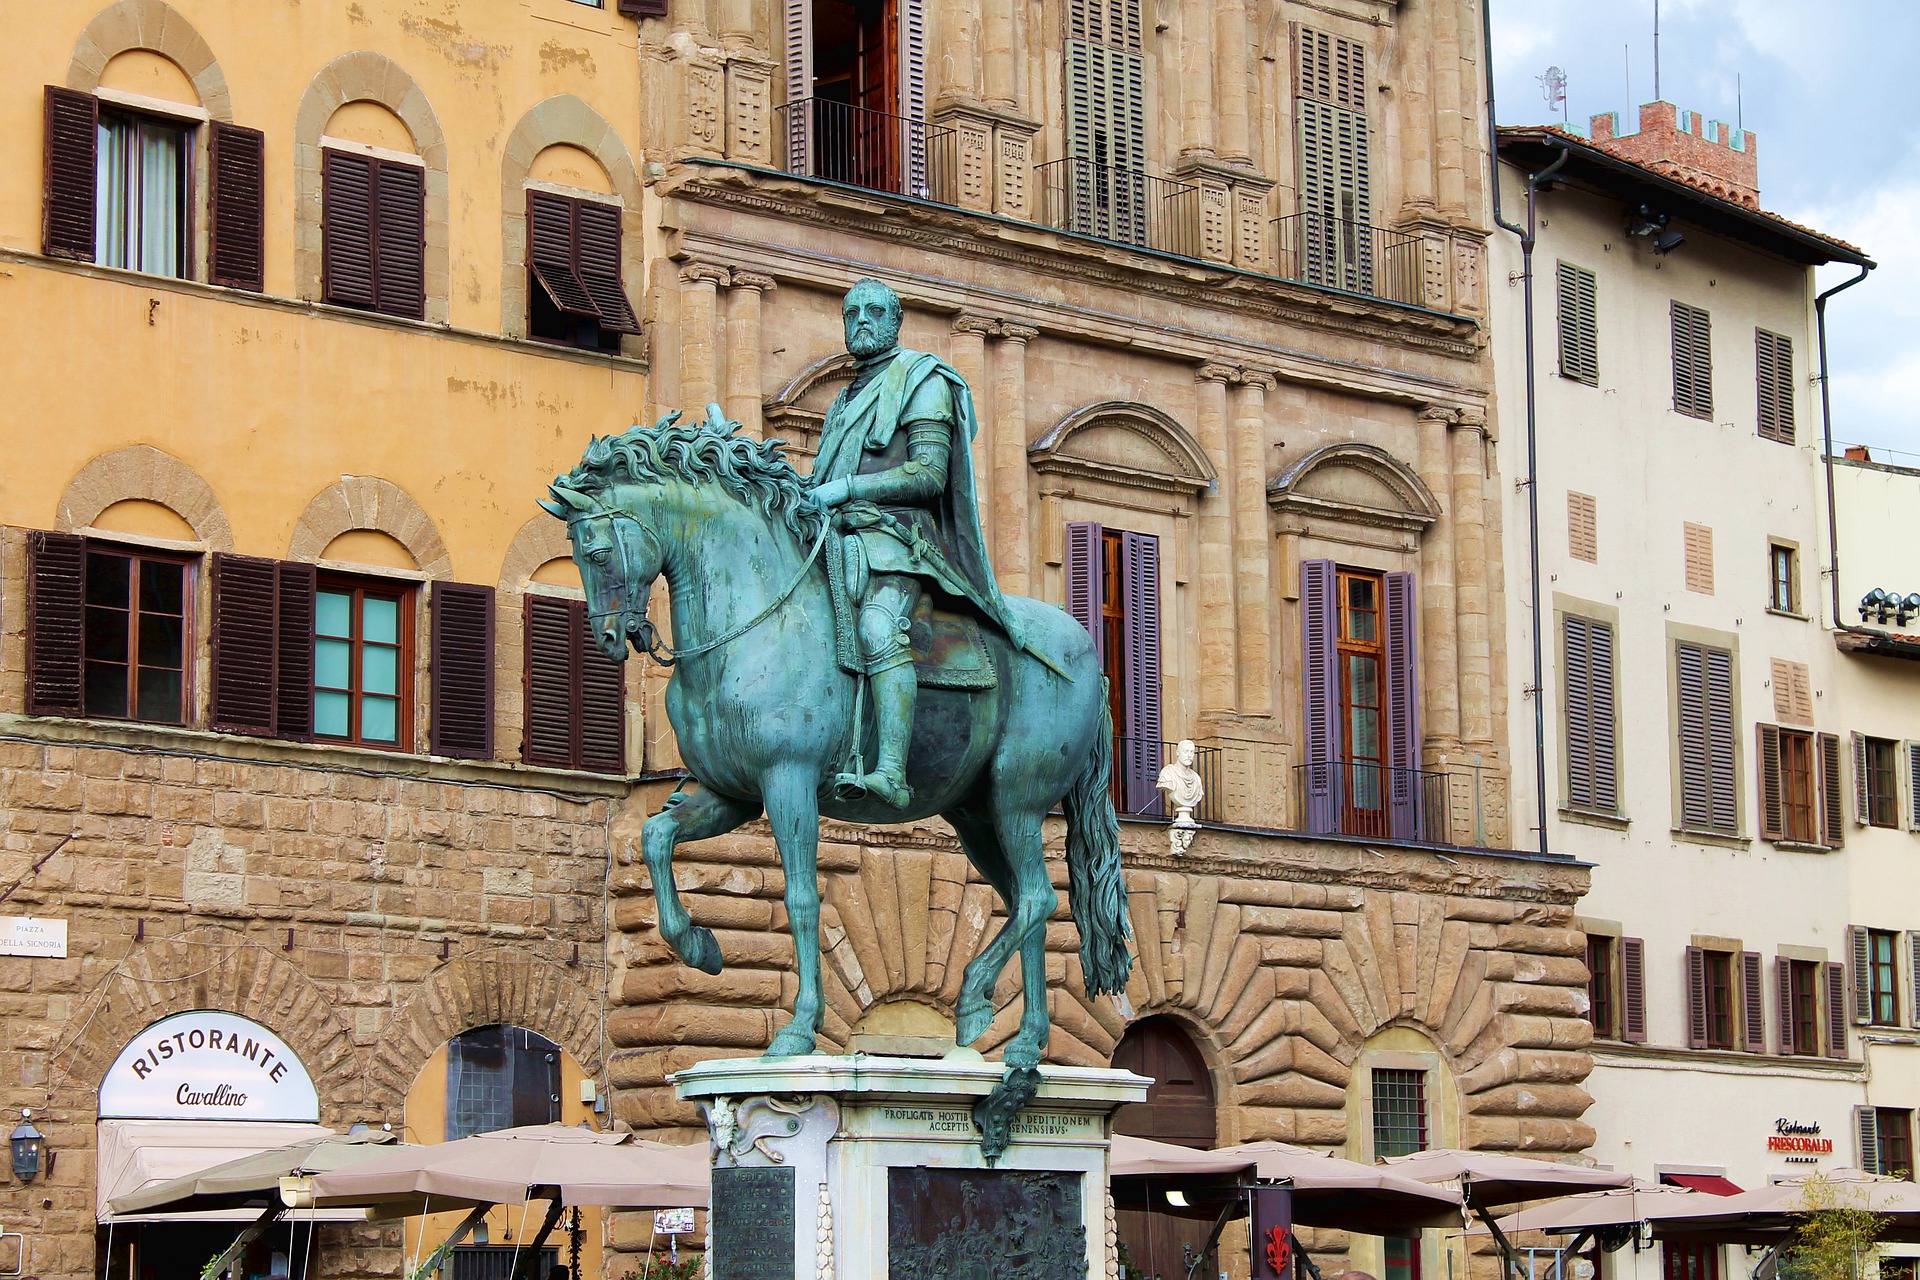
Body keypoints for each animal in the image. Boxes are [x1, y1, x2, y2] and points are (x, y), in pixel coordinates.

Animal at [541, 416, 1128, 1074]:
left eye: (595, 553)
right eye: (578, 558)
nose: (612, 637)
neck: (757, 623)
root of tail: (1090, 656)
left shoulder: (788, 780)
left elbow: (802, 899)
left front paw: (797, 1031)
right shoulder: (730, 794)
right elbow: (655, 837)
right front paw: (698, 946)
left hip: (1016, 801)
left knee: (1036, 899)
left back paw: (981, 1001)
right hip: (978, 818)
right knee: (1029, 905)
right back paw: (1022, 1041)